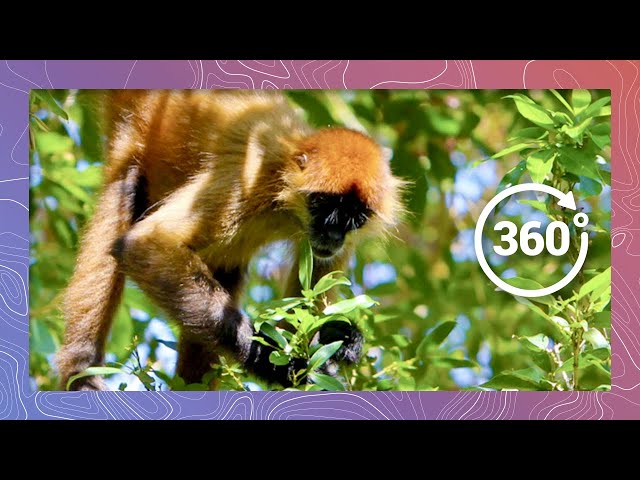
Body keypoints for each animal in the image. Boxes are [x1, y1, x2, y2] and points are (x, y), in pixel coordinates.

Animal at [55, 90, 405, 391]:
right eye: (323, 204)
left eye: (354, 217)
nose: (332, 234)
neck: (287, 204)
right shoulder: (250, 178)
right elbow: (144, 245)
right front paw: (269, 362)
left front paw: (342, 338)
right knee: (125, 191)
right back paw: (81, 373)